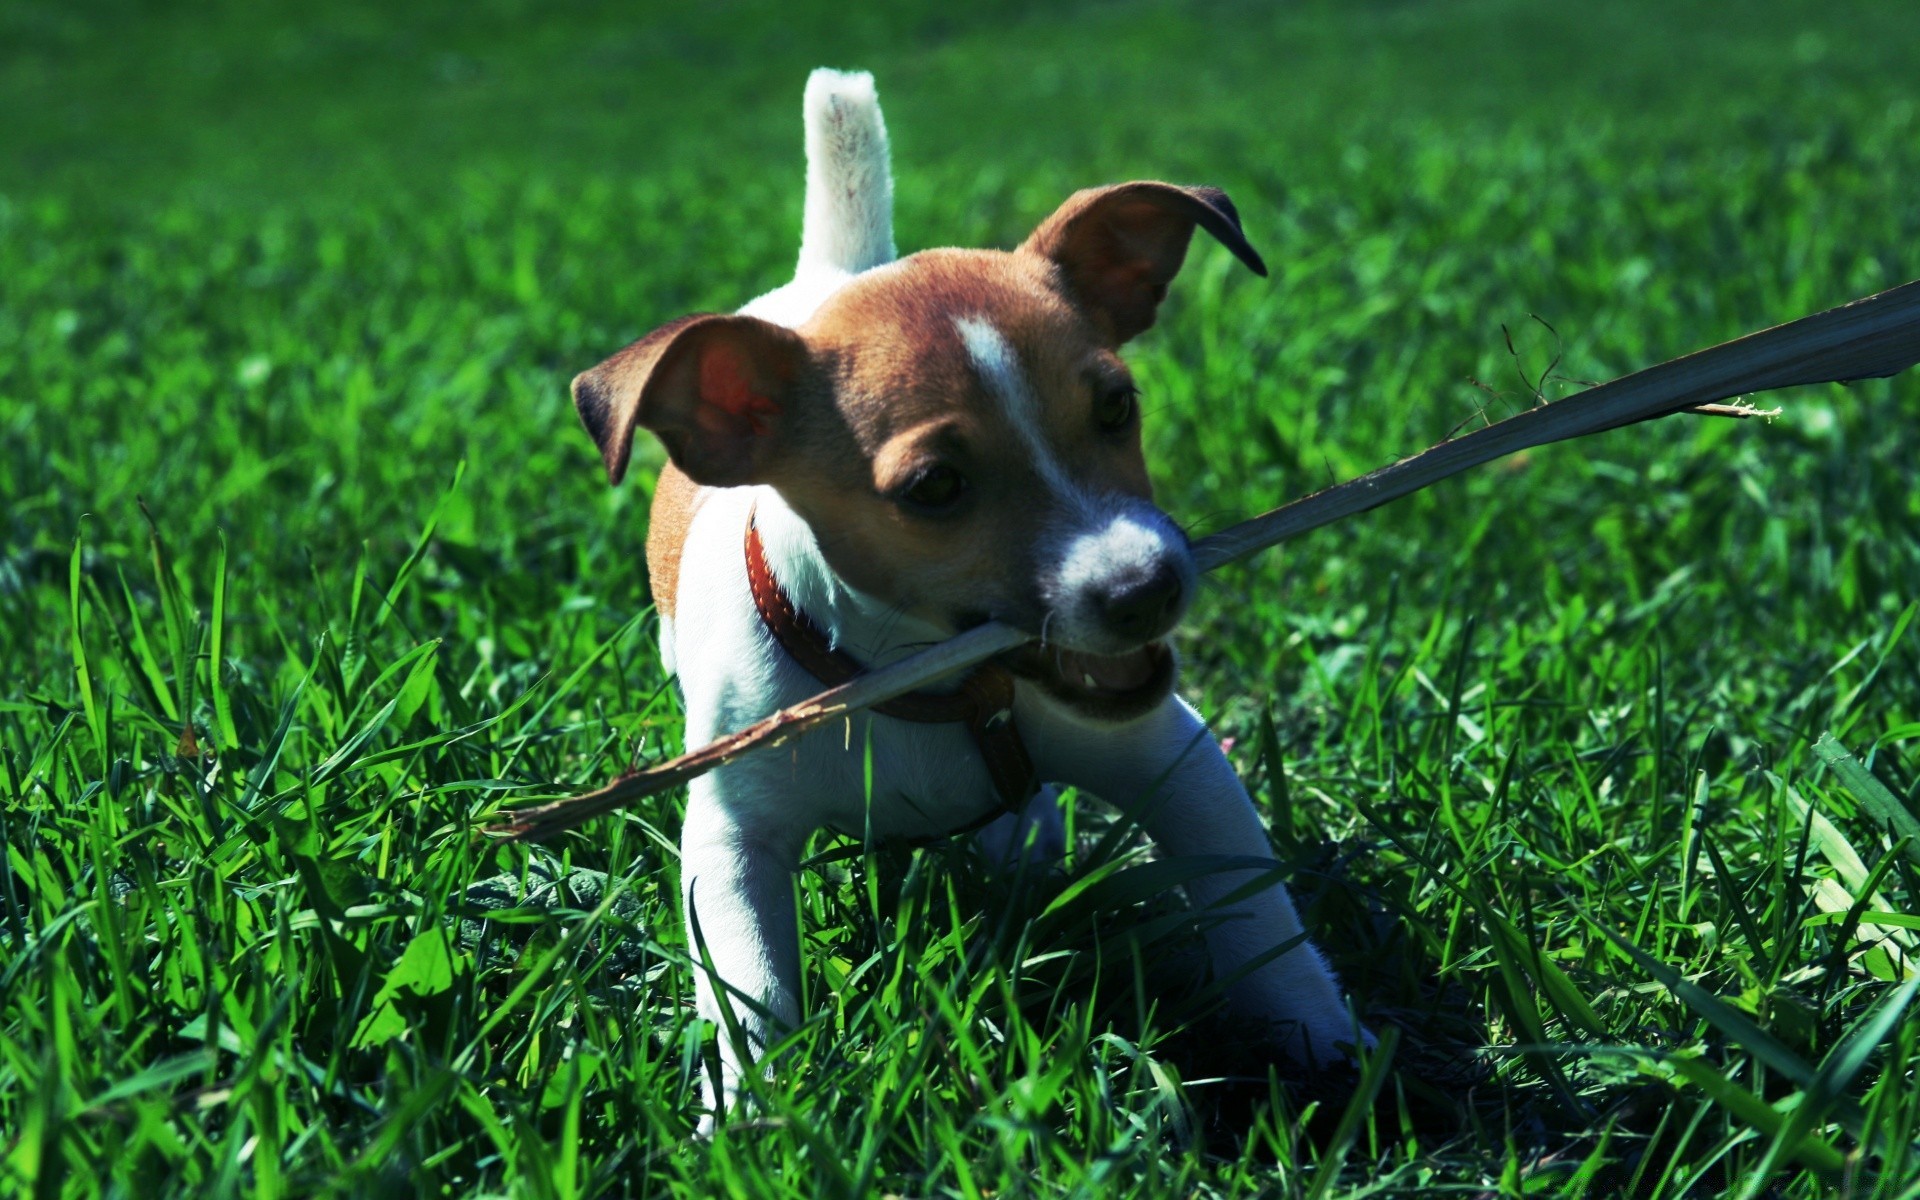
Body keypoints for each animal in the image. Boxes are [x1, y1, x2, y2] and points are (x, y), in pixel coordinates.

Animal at [568, 70, 1367, 1128]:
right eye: (936, 488)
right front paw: (749, 1114)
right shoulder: (735, 833)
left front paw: (1323, 1038)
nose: (1146, 587)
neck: (913, 680)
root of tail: (834, 274)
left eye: (1118, 408)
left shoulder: (1170, 754)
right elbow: (746, 981)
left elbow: (1255, 910)